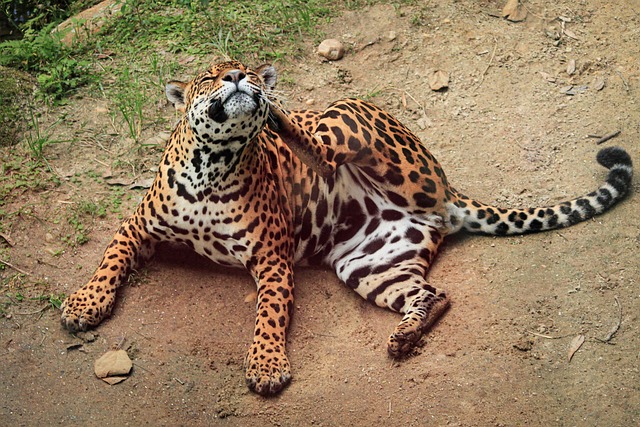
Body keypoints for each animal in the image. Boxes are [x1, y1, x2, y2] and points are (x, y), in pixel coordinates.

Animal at [60, 60, 633, 396]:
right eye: (209, 77)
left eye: (240, 68)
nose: (242, 79)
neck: (214, 164)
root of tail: (447, 192)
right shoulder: (139, 224)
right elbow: (110, 257)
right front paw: (85, 304)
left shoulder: (271, 258)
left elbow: (269, 316)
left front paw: (266, 365)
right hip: (371, 263)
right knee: (434, 293)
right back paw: (405, 337)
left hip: (351, 115)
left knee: (319, 144)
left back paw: (279, 115)